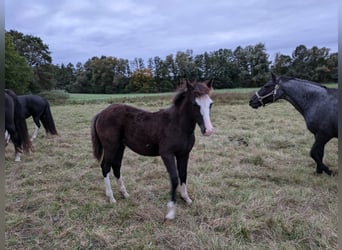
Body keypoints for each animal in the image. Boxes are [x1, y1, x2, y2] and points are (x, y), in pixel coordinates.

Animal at [91, 80, 214, 219]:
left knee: (116, 166)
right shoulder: (167, 154)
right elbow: (174, 178)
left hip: (120, 147)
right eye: (194, 104)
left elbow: (183, 174)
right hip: (110, 147)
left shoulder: (184, 154)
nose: (208, 130)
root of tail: (101, 113)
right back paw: (111, 197)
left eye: (210, 104)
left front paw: (186, 198)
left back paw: (125, 193)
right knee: (105, 167)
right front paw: (171, 211)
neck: (177, 125)